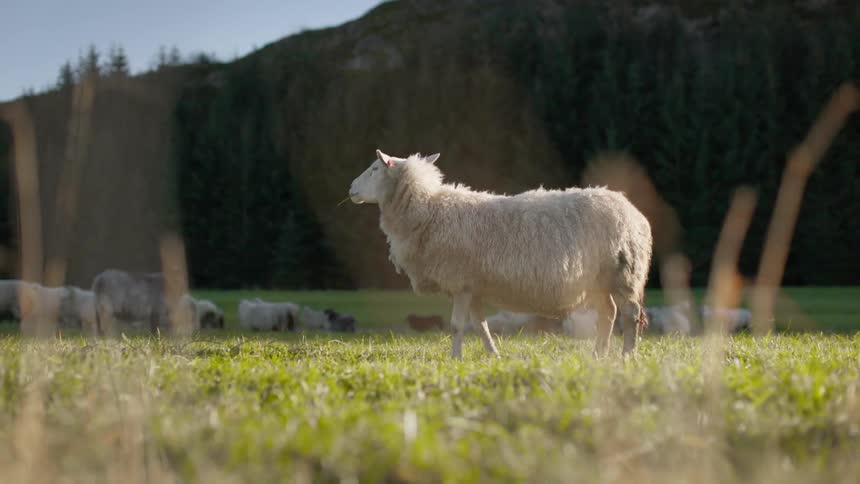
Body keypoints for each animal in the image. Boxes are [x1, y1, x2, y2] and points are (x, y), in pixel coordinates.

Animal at [349, 149, 653, 359]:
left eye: (374, 168)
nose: (350, 189)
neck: (430, 211)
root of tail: (634, 212)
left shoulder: (460, 283)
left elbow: (457, 325)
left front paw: (454, 358)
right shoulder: (472, 287)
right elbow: (480, 325)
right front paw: (493, 354)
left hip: (623, 273)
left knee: (630, 315)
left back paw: (627, 355)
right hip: (601, 280)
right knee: (608, 313)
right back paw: (599, 354)